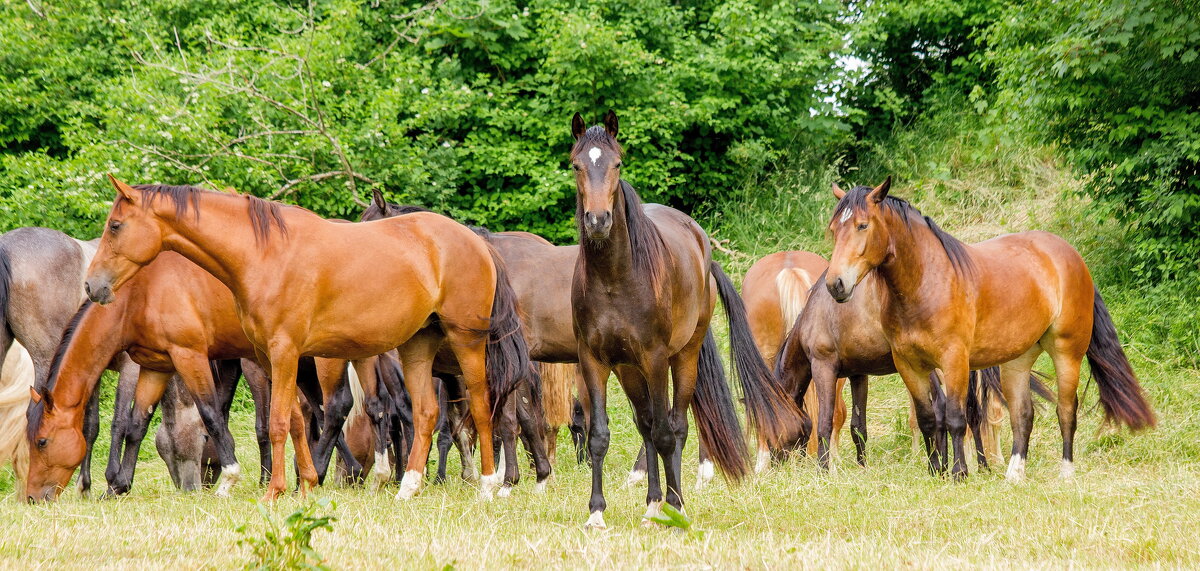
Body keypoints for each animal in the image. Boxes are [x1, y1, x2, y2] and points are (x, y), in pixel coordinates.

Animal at [84, 177, 530, 499]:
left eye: (115, 225)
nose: (92, 286)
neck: (264, 254)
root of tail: (477, 242)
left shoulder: (284, 353)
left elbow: (279, 422)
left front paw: (275, 491)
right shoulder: (270, 357)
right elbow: (297, 419)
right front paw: (304, 484)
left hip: (465, 342)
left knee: (480, 404)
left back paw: (489, 486)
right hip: (418, 345)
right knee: (424, 413)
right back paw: (407, 488)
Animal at [568, 111, 801, 530]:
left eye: (617, 164)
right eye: (577, 165)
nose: (598, 220)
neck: (614, 280)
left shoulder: (656, 359)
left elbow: (666, 433)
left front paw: (676, 508)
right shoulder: (593, 360)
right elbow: (600, 436)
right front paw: (596, 512)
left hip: (684, 357)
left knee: (674, 426)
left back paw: (671, 503)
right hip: (629, 370)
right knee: (646, 425)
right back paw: (652, 503)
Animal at [825, 177, 1152, 477]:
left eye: (862, 225)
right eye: (834, 230)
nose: (835, 284)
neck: (926, 282)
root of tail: (1072, 256)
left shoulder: (954, 361)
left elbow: (956, 418)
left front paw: (959, 473)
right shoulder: (909, 365)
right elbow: (928, 419)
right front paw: (936, 471)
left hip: (1067, 352)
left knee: (1066, 410)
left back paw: (1066, 473)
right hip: (1017, 361)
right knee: (1022, 415)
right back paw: (1013, 476)